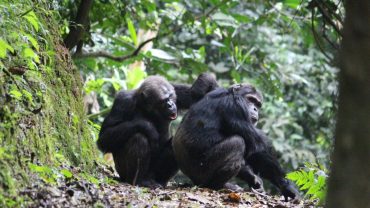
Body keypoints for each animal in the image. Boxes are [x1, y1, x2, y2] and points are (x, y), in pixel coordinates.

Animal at [172, 83, 300, 202]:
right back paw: (219, 186)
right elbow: (257, 149)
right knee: (238, 142)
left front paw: (254, 179)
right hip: (201, 170)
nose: (255, 109)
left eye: (258, 104)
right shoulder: (236, 107)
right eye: (251, 99)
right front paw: (287, 187)